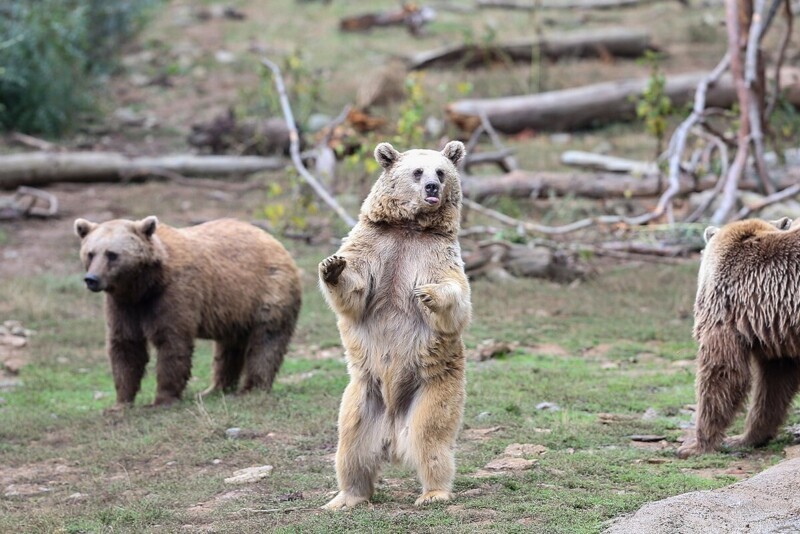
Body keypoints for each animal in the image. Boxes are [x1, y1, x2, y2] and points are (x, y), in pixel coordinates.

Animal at [75, 216, 302, 408]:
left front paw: (162, 399)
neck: (144, 286)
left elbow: (172, 343)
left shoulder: (174, 294)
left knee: (266, 341)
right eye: (90, 253)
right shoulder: (124, 306)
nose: (92, 279)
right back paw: (214, 389)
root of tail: (276, 242)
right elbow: (126, 346)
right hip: (235, 309)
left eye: (112, 254)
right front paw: (120, 403)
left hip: (267, 292)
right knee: (228, 349)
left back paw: (251, 388)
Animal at [318, 141, 468, 510]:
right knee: (351, 447)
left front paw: (428, 293)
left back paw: (433, 492)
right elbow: (355, 290)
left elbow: (456, 297)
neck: (409, 227)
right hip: (363, 396)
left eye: (440, 171)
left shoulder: (435, 253)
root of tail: (391, 436)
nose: (432, 188)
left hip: (432, 386)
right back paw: (347, 497)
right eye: (417, 171)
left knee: (431, 438)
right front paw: (332, 266)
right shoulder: (376, 246)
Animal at [680, 219, 800, 460]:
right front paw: (745, 437)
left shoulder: (726, 308)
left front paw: (694, 445)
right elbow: (775, 384)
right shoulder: (777, 330)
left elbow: (722, 371)